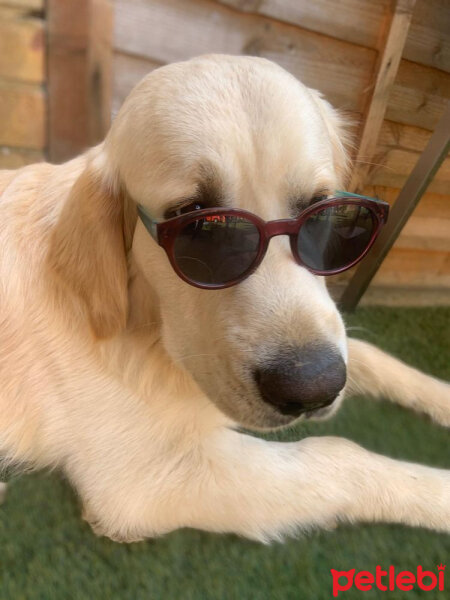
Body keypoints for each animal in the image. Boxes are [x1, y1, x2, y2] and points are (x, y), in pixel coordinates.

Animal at [0, 57, 450, 544]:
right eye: (199, 223)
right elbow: (340, 457)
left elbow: (367, 354)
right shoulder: (148, 478)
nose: (313, 388)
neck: (148, 332)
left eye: (321, 208)